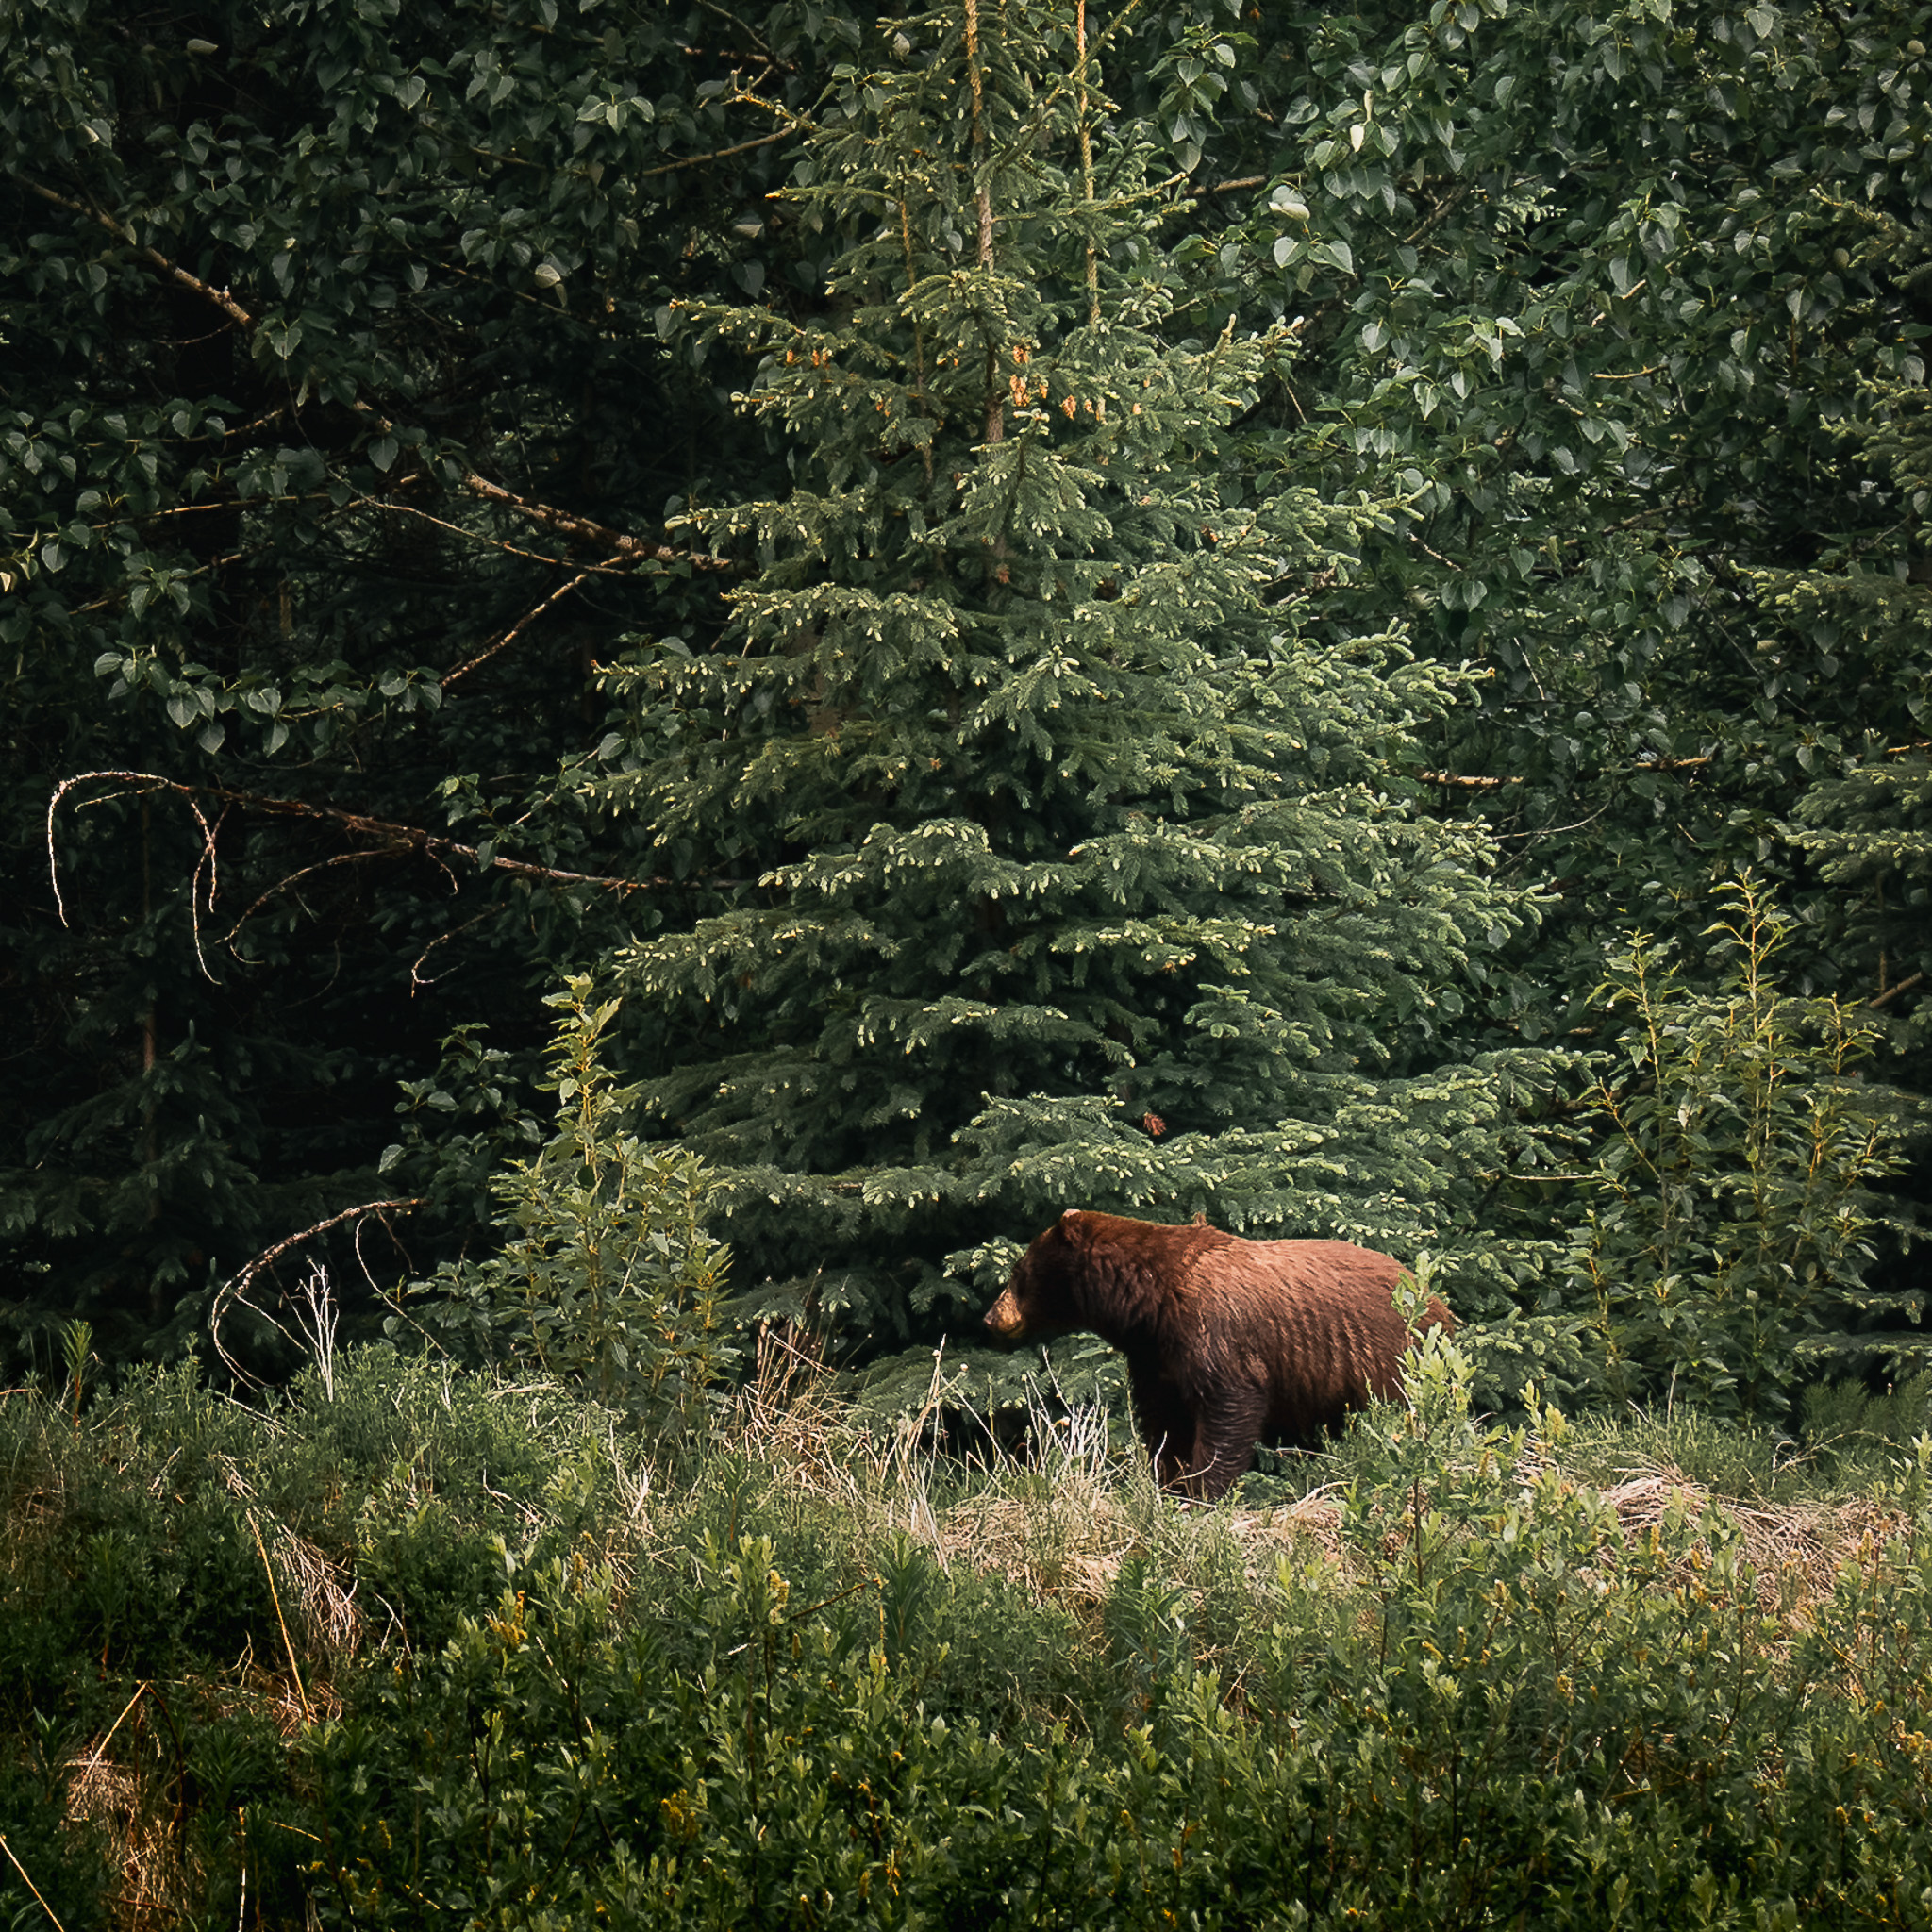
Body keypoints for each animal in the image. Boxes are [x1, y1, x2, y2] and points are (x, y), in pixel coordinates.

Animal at [989, 1213, 1453, 1499]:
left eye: (1018, 1271)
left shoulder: (1212, 1328)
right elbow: (1164, 1421)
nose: (990, 1317)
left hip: (1392, 1358)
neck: (1149, 1300)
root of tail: (1439, 1303)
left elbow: (1228, 1405)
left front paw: (1201, 1491)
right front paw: (1168, 1482)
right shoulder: (1156, 1355)